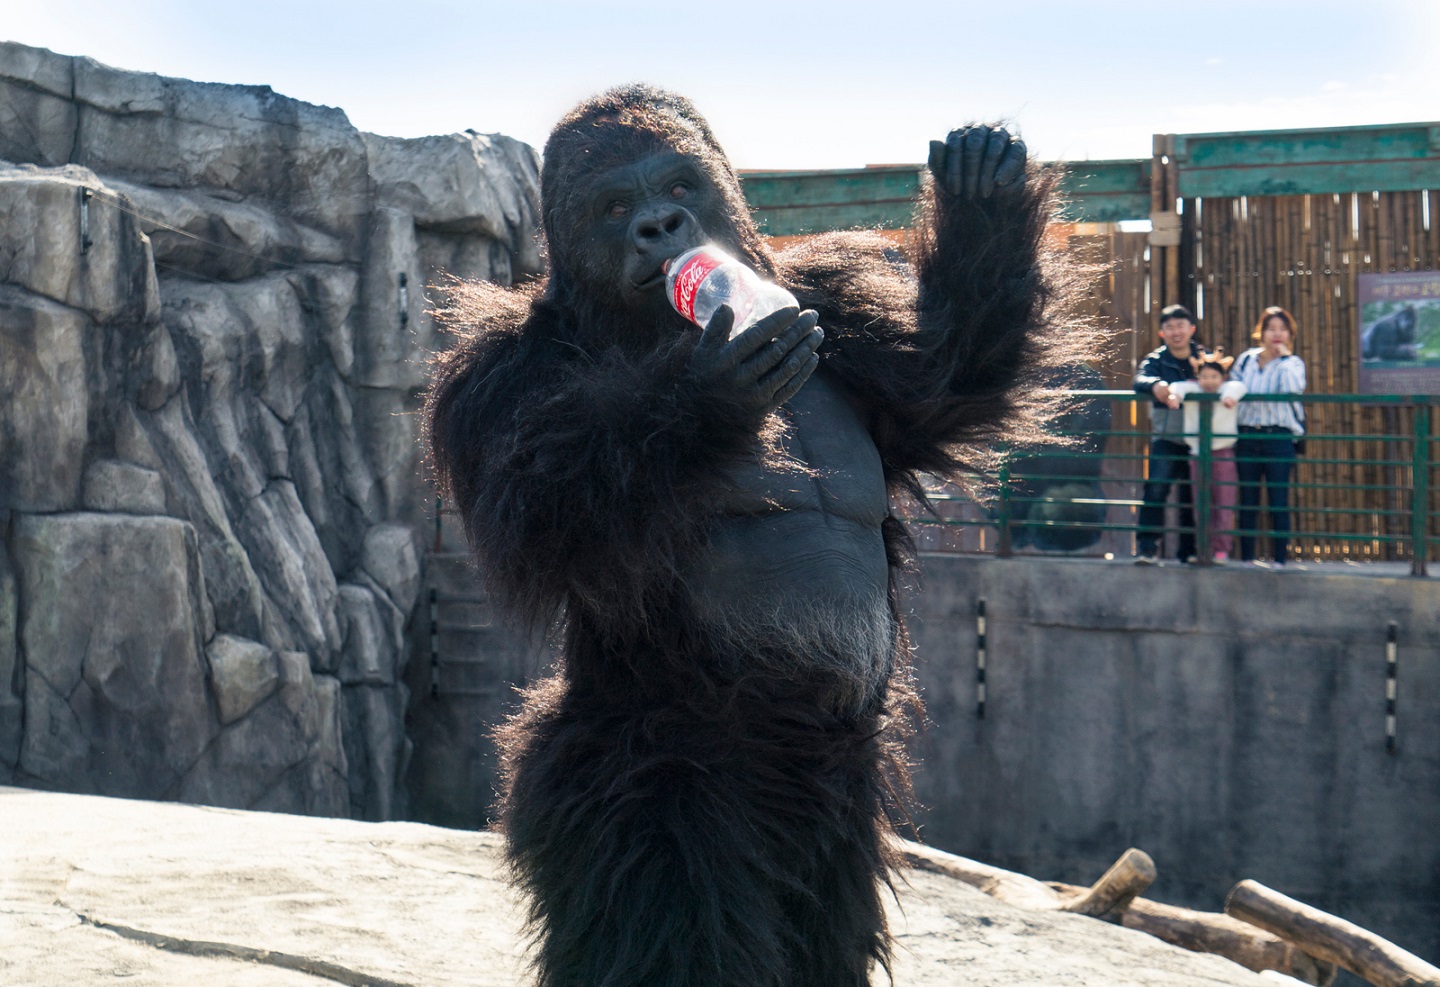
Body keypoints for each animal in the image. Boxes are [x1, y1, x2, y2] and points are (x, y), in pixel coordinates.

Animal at [426, 86, 1088, 985]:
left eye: (679, 185)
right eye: (615, 205)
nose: (661, 228)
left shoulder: (841, 307)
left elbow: (951, 371)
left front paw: (981, 192)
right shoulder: (490, 376)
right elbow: (532, 511)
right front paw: (708, 387)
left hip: (835, 818)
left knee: (824, 925)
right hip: (646, 778)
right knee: (670, 915)